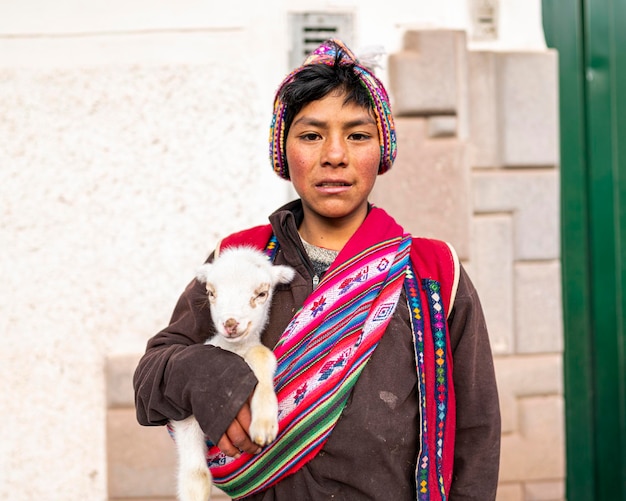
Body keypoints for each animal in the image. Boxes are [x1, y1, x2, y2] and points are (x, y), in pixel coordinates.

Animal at [168, 246, 294, 500]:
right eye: (210, 292)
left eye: (262, 293)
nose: (231, 323)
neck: (234, 349)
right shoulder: (187, 416)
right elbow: (196, 477)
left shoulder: (254, 349)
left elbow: (263, 356)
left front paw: (263, 424)